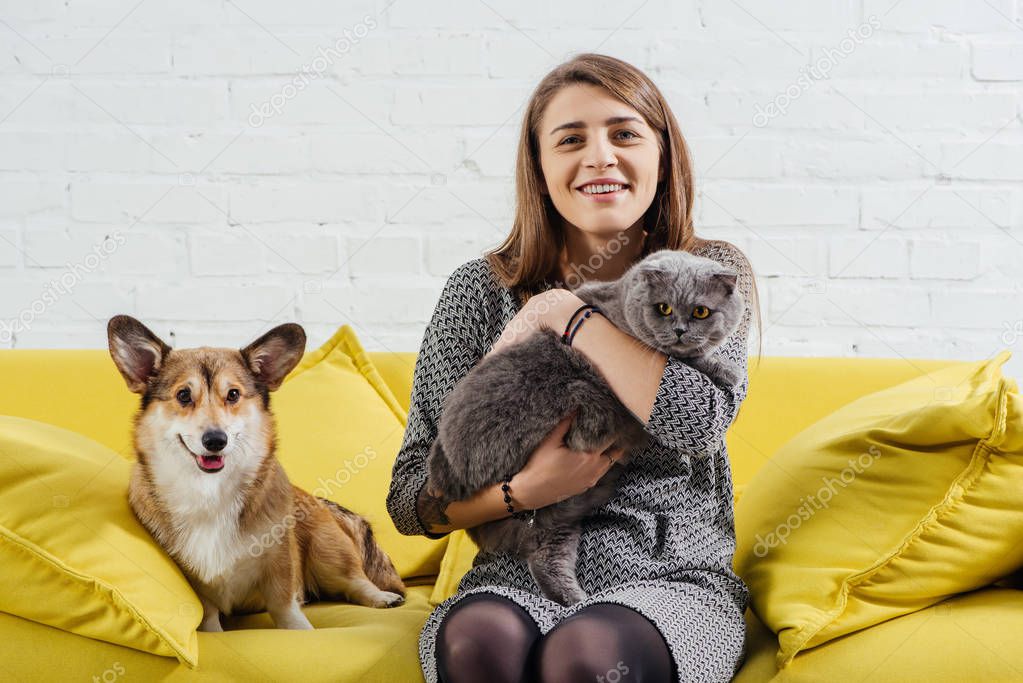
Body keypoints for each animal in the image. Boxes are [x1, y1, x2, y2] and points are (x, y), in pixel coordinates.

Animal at [105, 314, 403, 629]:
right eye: (183, 395)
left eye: (233, 394)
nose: (216, 440)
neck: (209, 490)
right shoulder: (198, 585)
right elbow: (208, 613)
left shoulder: (279, 564)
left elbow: (285, 607)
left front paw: (300, 630)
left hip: (328, 550)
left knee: (355, 580)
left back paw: (383, 597)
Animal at [423, 248, 744, 605]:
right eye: (664, 308)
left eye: (701, 311)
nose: (679, 331)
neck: (620, 298)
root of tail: (446, 473)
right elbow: (683, 358)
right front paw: (726, 369)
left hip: (558, 511)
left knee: (545, 554)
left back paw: (575, 600)